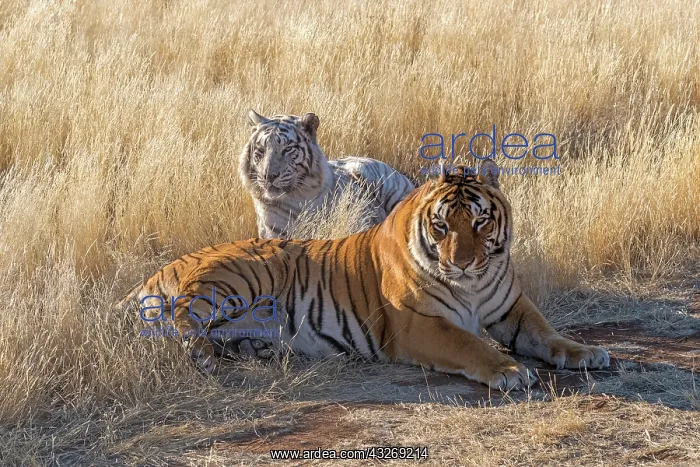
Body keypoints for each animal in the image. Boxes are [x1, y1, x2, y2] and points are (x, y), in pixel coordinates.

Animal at [121, 160, 609, 390]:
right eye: (442, 226)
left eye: (480, 222)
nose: (462, 263)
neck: (472, 284)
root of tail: (169, 264)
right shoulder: (420, 324)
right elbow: (470, 344)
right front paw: (508, 370)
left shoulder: (511, 307)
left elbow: (547, 334)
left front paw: (587, 353)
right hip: (241, 278)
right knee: (181, 315)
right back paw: (203, 353)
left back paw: (252, 349)